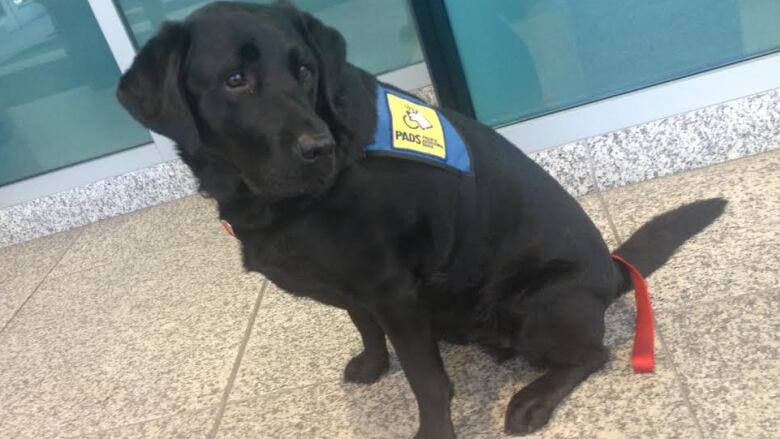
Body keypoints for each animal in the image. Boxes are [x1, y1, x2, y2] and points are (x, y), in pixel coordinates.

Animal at [116, 2, 724, 436]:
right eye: (235, 80)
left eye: (305, 70)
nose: (318, 148)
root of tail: (614, 270)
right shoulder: (361, 287)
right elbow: (364, 324)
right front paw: (372, 363)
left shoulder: (392, 291)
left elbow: (428, 383)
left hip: (535, 303)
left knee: (592, 353)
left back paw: (532, 400)